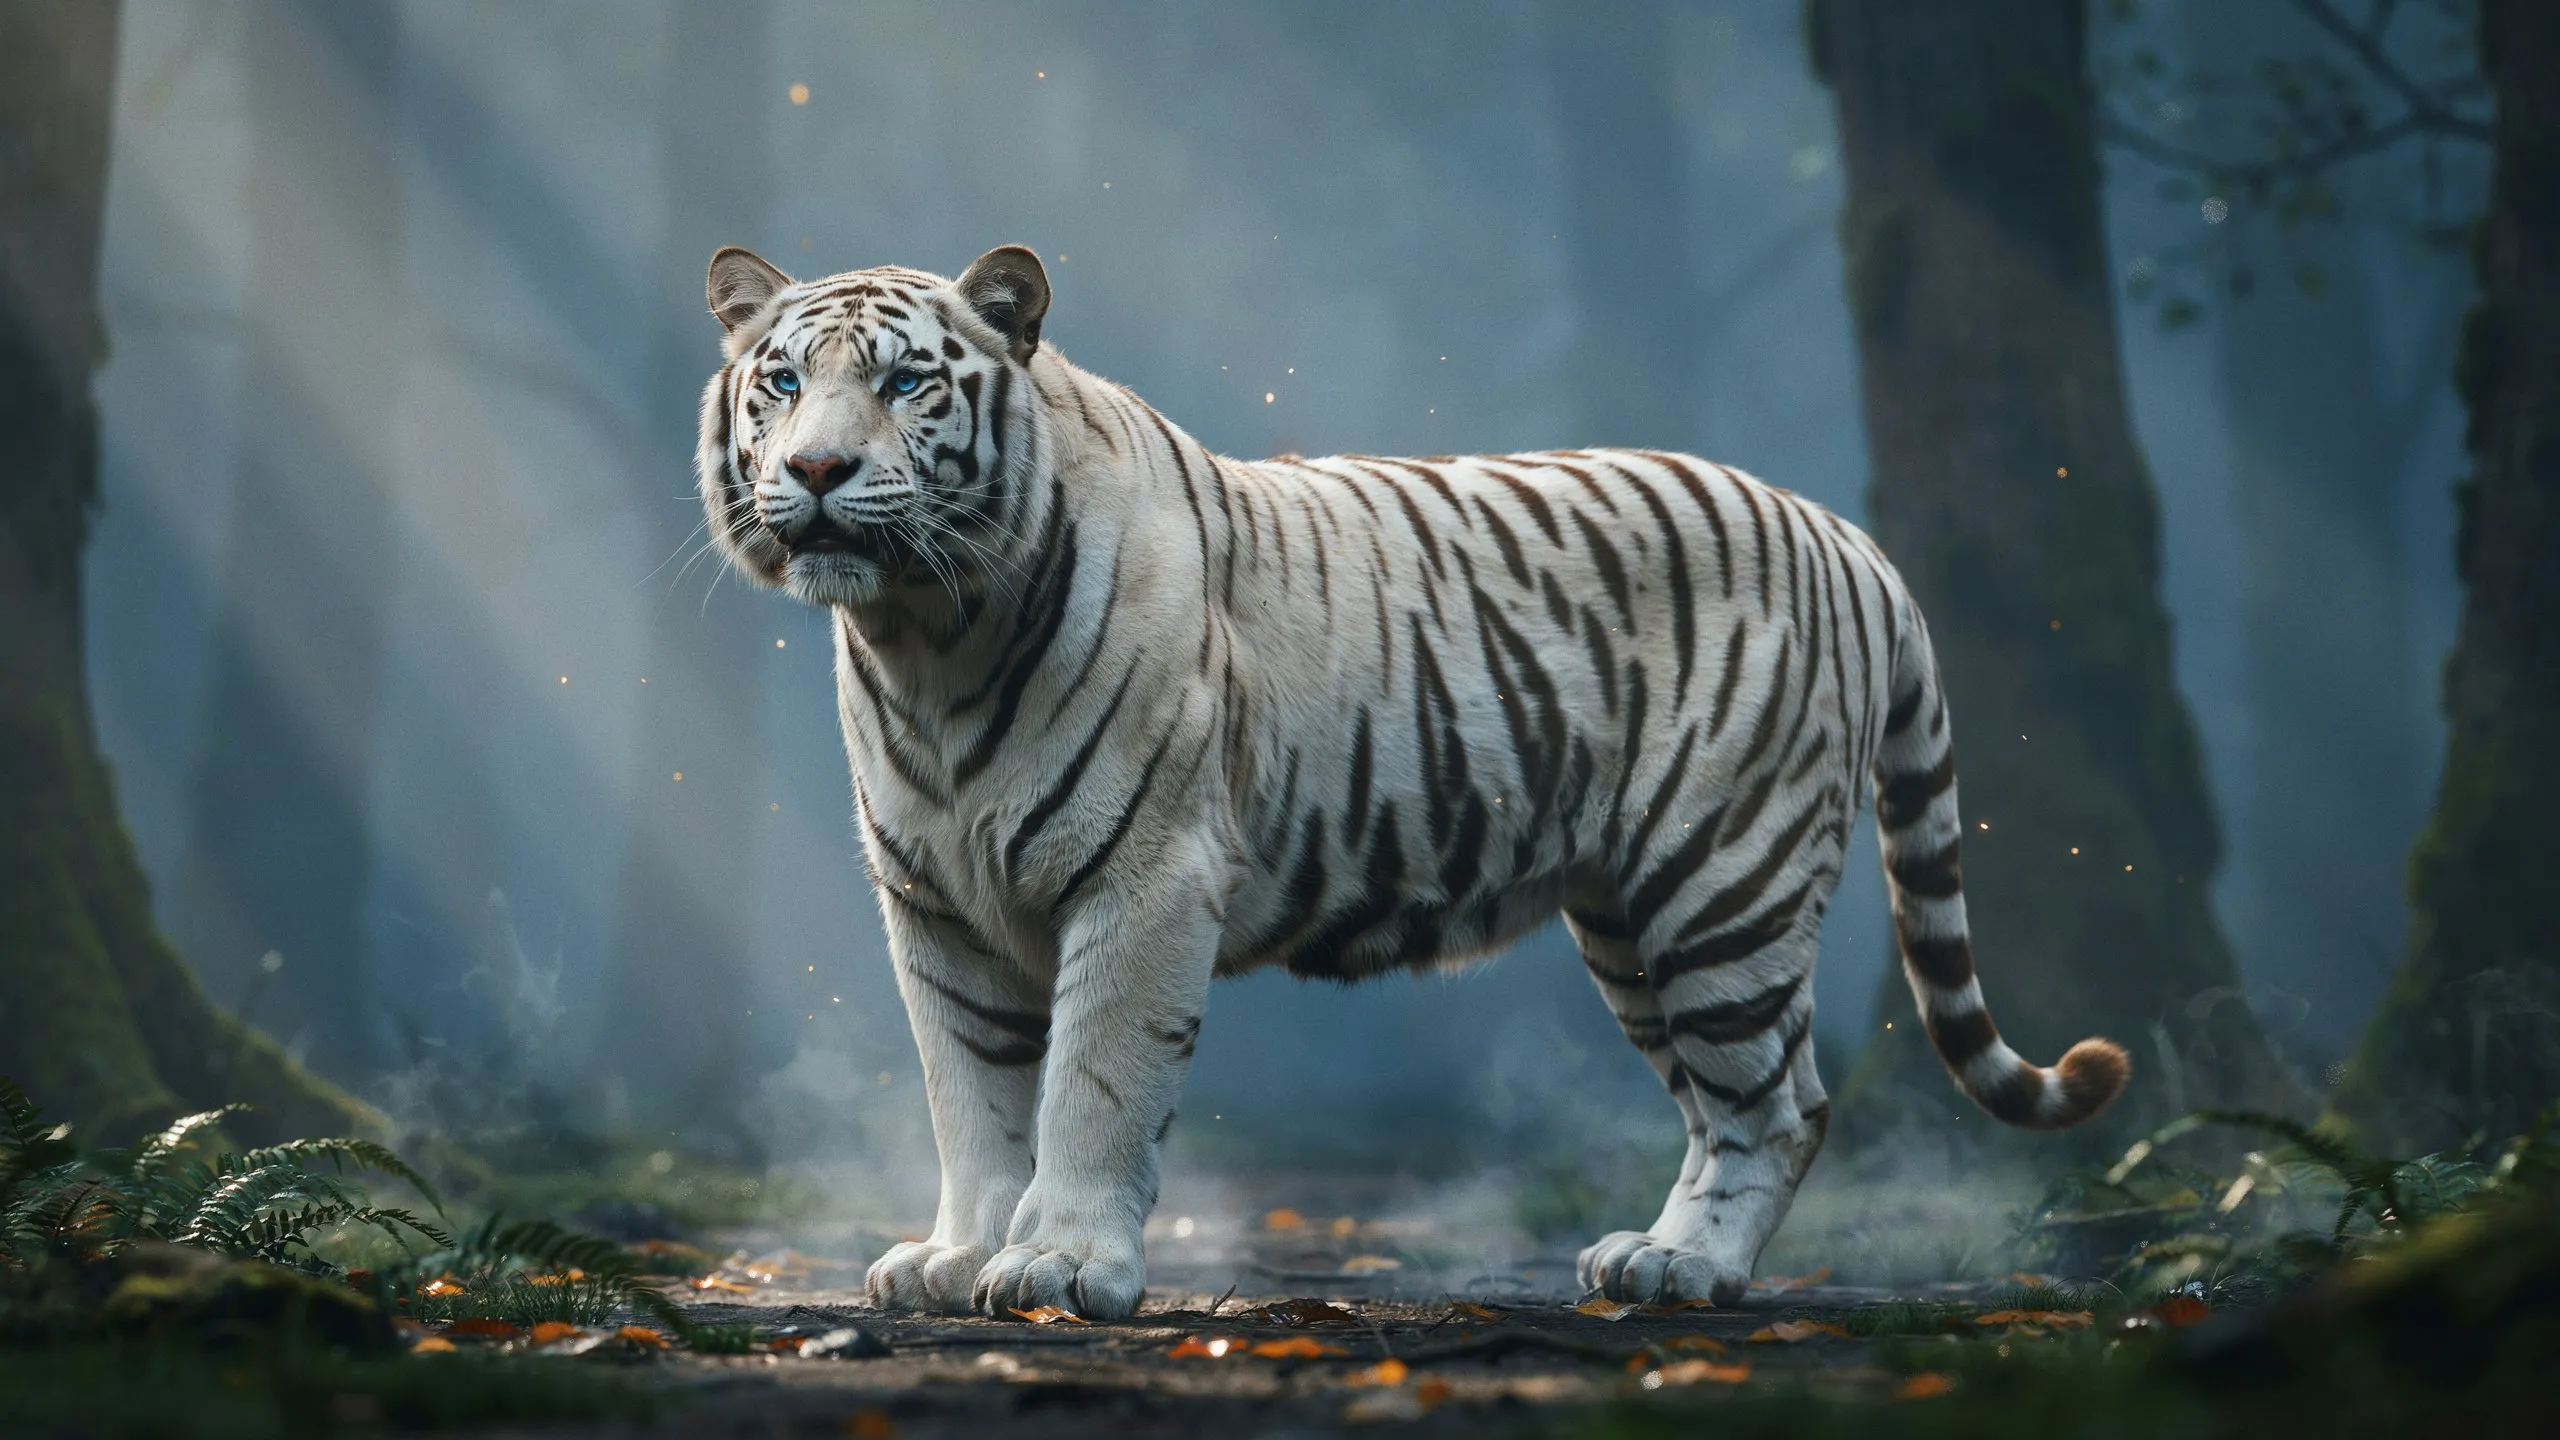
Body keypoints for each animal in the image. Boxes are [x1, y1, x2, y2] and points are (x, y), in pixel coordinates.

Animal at [691, 242, 2129, 1320]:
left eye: (907, 384)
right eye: (781, 382)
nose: (814, 471)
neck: (923, 637)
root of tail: (1843, 534)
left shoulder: (1146, 876)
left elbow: (1093, 1085)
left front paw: (1057, 1266)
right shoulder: (938, 905)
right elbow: (973, 1096)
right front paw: (958, 1256)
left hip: (1724, 880)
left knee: (1778, 1104)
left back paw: (1691, 1269)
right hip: (1630, 916)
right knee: (1726, 1098)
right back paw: (1644, 1258)